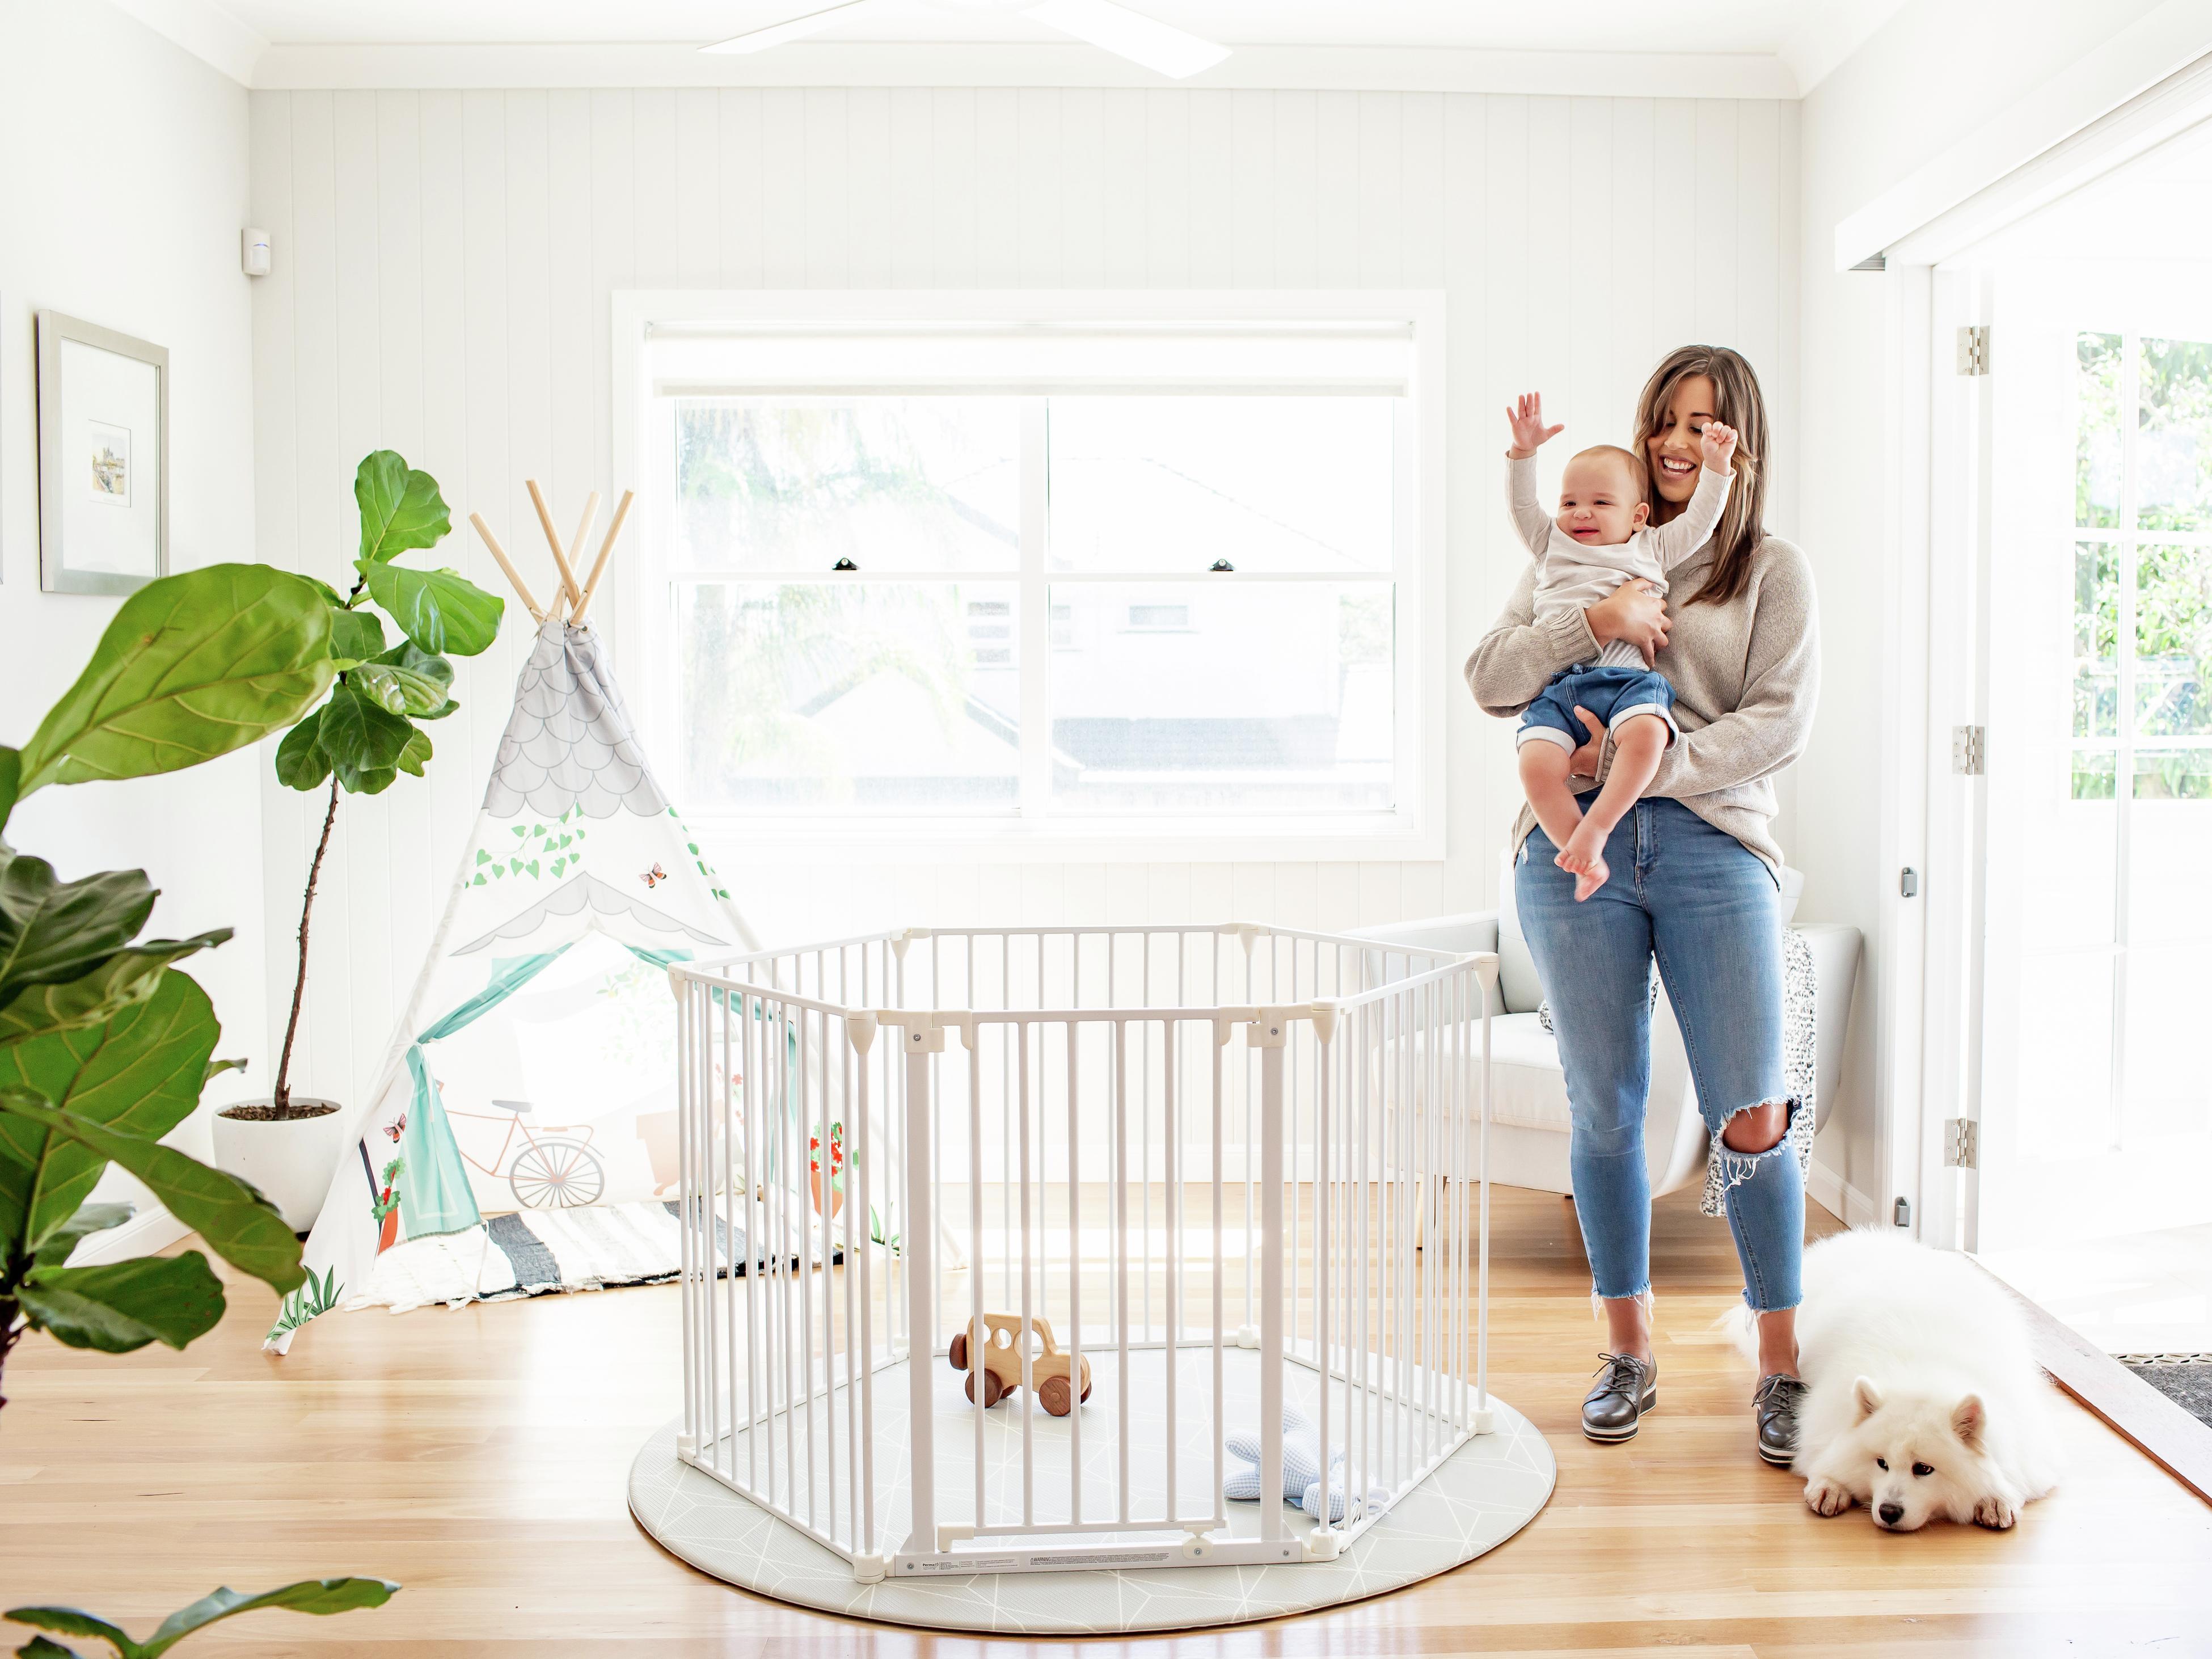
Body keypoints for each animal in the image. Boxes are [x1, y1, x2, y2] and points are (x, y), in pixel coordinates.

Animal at [1734, 1239, 2061, 1530]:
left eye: (1924, 1469)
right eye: (1882, 1463)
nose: (1888, 1511)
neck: (1922, 1377)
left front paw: (1995, 1499)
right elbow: (1828, 1454)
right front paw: (1831, 1486)